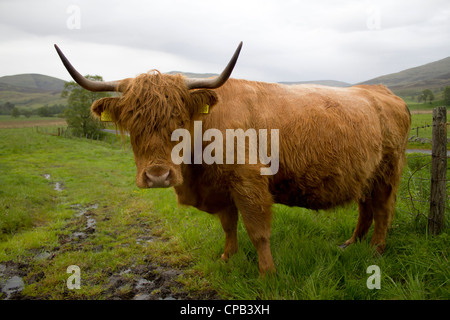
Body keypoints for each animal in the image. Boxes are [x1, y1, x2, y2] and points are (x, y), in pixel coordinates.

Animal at [55, 43, 412, 276]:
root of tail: (381, 91)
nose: (158, 176)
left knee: (383, 209)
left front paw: (267, 274)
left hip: (388, 171)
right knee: (366, 208)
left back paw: (375, 250)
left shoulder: (249, 183)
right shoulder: (221, 189)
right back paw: (350, 244)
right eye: (132, 121)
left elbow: (258, 230)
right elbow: (228, 225)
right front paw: (228, 257)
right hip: (364, 173)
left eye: (179, 120)